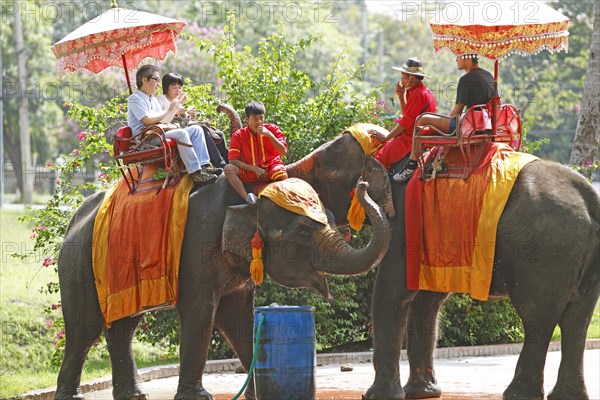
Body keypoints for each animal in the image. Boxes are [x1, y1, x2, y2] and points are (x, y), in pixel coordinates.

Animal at [288, 134, 600, 400]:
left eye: (328, 168)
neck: (390, 150)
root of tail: (590, 198)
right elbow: (426, 300)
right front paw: (423, 393)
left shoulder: (404, 223)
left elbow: (391, 293)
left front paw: (377, 396)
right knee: (577, 319)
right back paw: (567, 396)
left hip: (545, 251)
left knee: (537, 317)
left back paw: (518, 395)